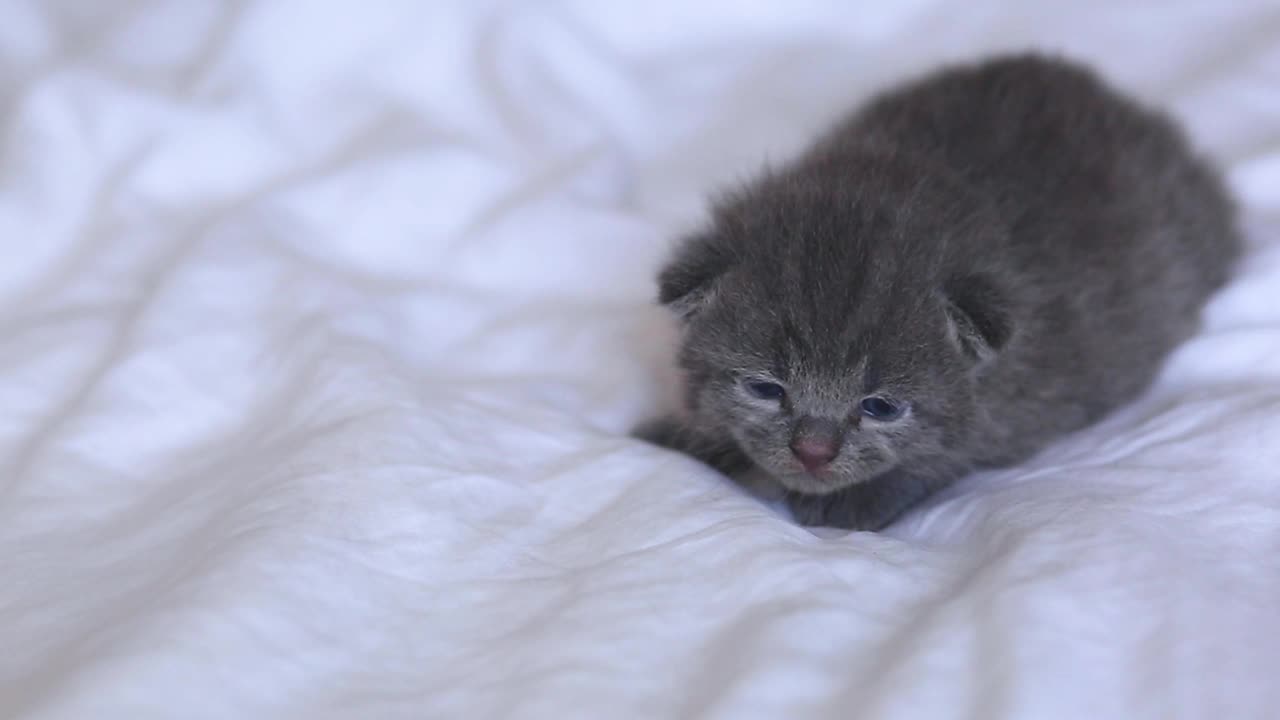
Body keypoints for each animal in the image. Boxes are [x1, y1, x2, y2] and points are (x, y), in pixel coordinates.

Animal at [637, 53, 1239, 527]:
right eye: (765, 388)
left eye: (880, 407)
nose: (812, 452)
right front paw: (690, 436)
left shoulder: (1035, 395)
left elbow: (954, 453)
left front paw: (863, 497)